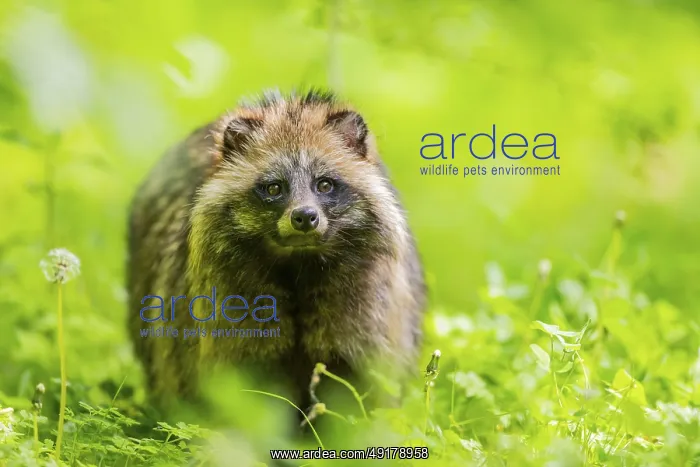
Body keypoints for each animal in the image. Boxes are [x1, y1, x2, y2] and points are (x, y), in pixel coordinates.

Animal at [127, 88, 427, 414]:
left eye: (324, 184)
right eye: (273, 188)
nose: (305, 216)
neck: (299, 263)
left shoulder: (367, 312)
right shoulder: (228, 313)